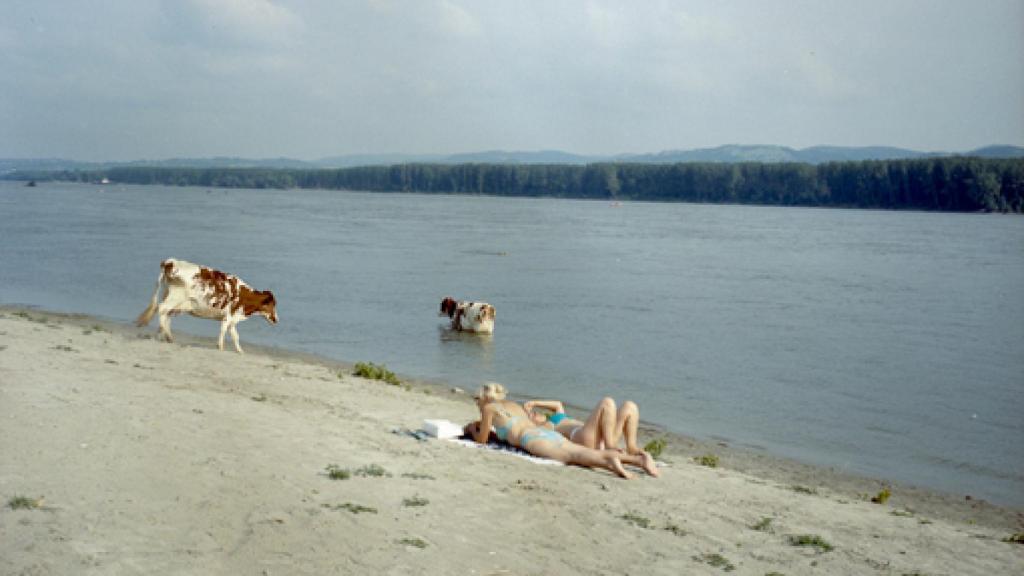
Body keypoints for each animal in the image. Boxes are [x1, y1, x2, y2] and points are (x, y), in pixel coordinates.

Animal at [139, 258, 280, 352]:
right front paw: (220, 347)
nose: (276, 319)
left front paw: (240, 351)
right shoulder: (229, 316)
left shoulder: (232, 318)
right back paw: (166, 335)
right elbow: (223, 331)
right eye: (272, 305)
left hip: (173, 298)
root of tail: (170, 262)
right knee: (161, 309)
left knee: (165, 314)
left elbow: (235, 336)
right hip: (175, 297)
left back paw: (165, 336)